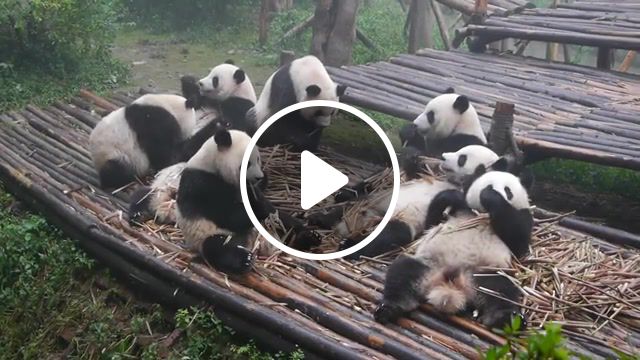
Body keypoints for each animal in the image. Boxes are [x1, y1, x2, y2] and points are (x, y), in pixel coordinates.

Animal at [312, 145, 502, 258]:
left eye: (462, 158)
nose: (443, 156)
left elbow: (435, 220)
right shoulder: (430, 174)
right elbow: (410, 171)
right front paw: (414, 156)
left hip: (399, 220)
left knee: (388, 235)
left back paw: (349, 245)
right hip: (373, 202)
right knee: (348, 206)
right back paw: (319, 219)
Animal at [372, 170, 532, 330]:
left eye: (508, 190)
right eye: (489, 184)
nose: (499, 193)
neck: (481, 213)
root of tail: (451, 286)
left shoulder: (523, 217)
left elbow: (518, 242)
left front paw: (491, 197)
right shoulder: (453, 211)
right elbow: (431, 223)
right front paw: (453, 196)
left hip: (483, 274)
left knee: (501, 289)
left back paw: (506, 318)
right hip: (428, 266)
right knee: (402, 273)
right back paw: (388, 309)